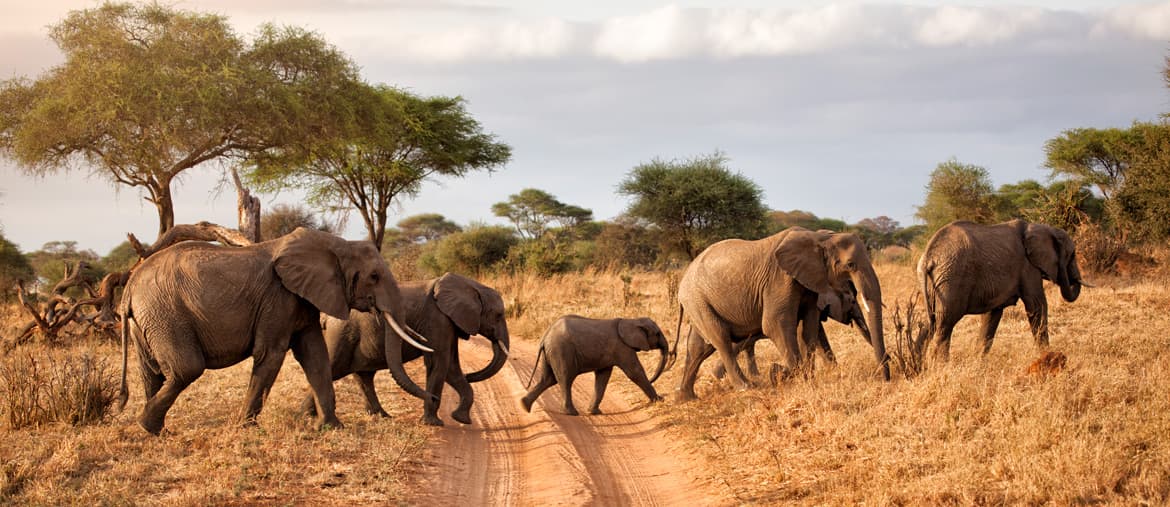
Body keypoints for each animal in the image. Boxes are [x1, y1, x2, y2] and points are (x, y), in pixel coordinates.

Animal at [115, 227, 435, 433]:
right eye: (374, 276)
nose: (433, 400)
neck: (336, 246)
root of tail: (130, 285)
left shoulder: (303, 298)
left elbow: (316, 357)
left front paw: (332, 428)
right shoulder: (277, 297)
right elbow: (271, 354)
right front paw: (245, 427)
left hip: (147, 320)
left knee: (152, 372)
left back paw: (156, 430)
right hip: (165, 314)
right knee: (186, 369)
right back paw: (147, 425)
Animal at [311, 270, 512, 423]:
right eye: (499, 315)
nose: (470, 375)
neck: (471, 285)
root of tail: (326, 317)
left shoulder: (449, 323)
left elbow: (451, 367)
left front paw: (461, 419)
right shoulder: (437, 320)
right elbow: (440, 364)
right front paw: (434, 423)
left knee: (363, 376)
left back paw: (380, 416)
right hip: (341, 334)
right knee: (333, 368)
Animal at [521, 316, 669, 414]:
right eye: (658, 334)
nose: (652, 379)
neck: (632, 319)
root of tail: (545, 336)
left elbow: (603, 377)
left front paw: (594, 412)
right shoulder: (622, 348)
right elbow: (635, 372)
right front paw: (660, 400)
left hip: (551, 352)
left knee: (548, 379)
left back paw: (524, 406)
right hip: (562, 350)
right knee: (565, 378)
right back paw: (572, 413)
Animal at [678, 225, 884, 398]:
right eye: (850, 265)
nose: (886, 376)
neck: (818, 237)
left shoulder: (809, 283)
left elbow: (809, 328)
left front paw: (807, 377)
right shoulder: (779, 279)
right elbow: (775, 324)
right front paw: (780, 373)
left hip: (699, 303)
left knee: (699, 347)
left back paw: (686, 398)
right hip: (698, 300)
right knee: (721, 339)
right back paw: (746, 387)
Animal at [912, 217, 1085, 360]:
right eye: (1072, 255)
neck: (1041, 227)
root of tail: (928, 257)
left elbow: (992, 315)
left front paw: (979, 362)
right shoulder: (1028, 266)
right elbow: (1037, 305)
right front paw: (1048, 355)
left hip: (933, 284)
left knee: (929, 324)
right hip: (951, 279)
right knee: (945, 325)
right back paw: (941, 366)